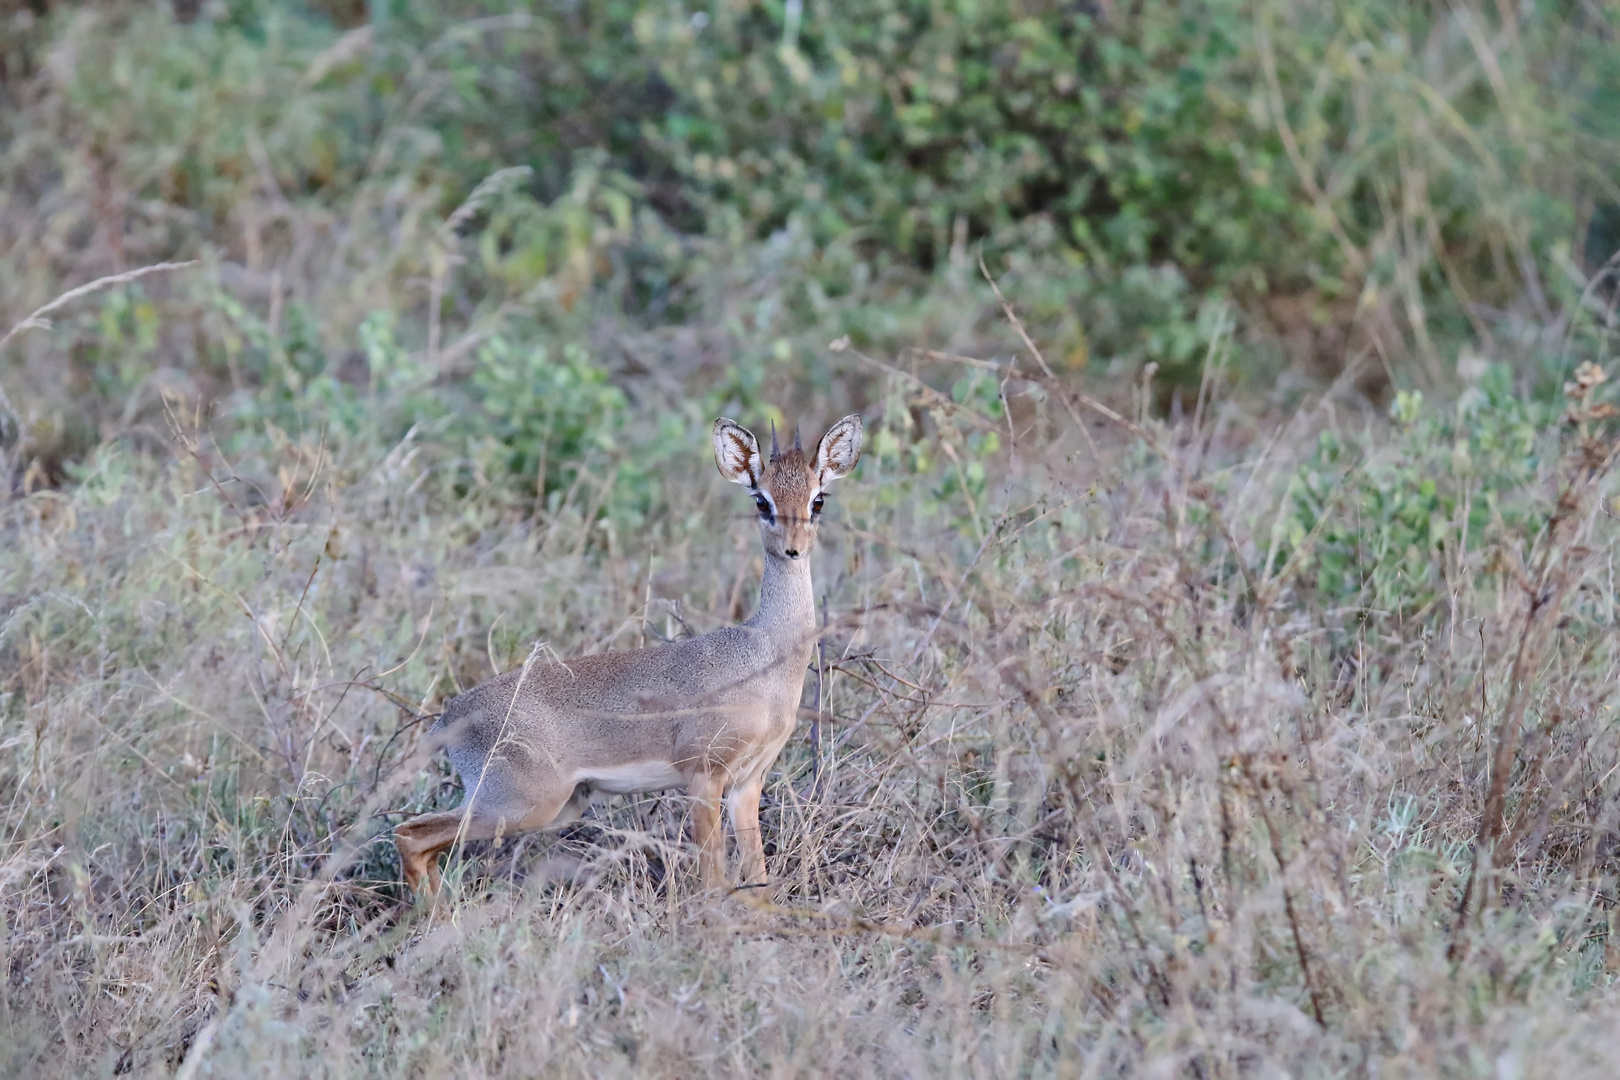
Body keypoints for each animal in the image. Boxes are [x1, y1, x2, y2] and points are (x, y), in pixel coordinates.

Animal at [393, 414, 868, 893]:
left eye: (817, 500)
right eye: (762, 501)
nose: (793, 548)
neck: (762, 655)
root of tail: (449, 716)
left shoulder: (747, 783)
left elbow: (757, 874)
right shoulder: (703, 776)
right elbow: (713, 879)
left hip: (554, 805)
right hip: (519, 806)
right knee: (409, 834)